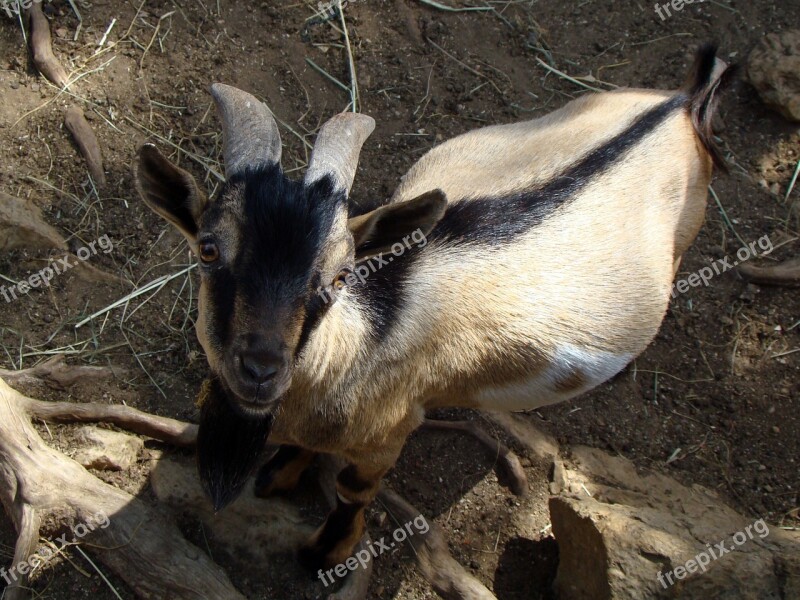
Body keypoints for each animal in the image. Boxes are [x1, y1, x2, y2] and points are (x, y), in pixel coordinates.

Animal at [136, 45, 732, 572]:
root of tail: (680, 105)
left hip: (687, 230)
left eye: (341, 276)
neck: (361, 338)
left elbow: (354, 489)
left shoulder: (390, 432)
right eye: (208, 249)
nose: (260, 369)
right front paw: (280, 474)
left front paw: (323, 553)